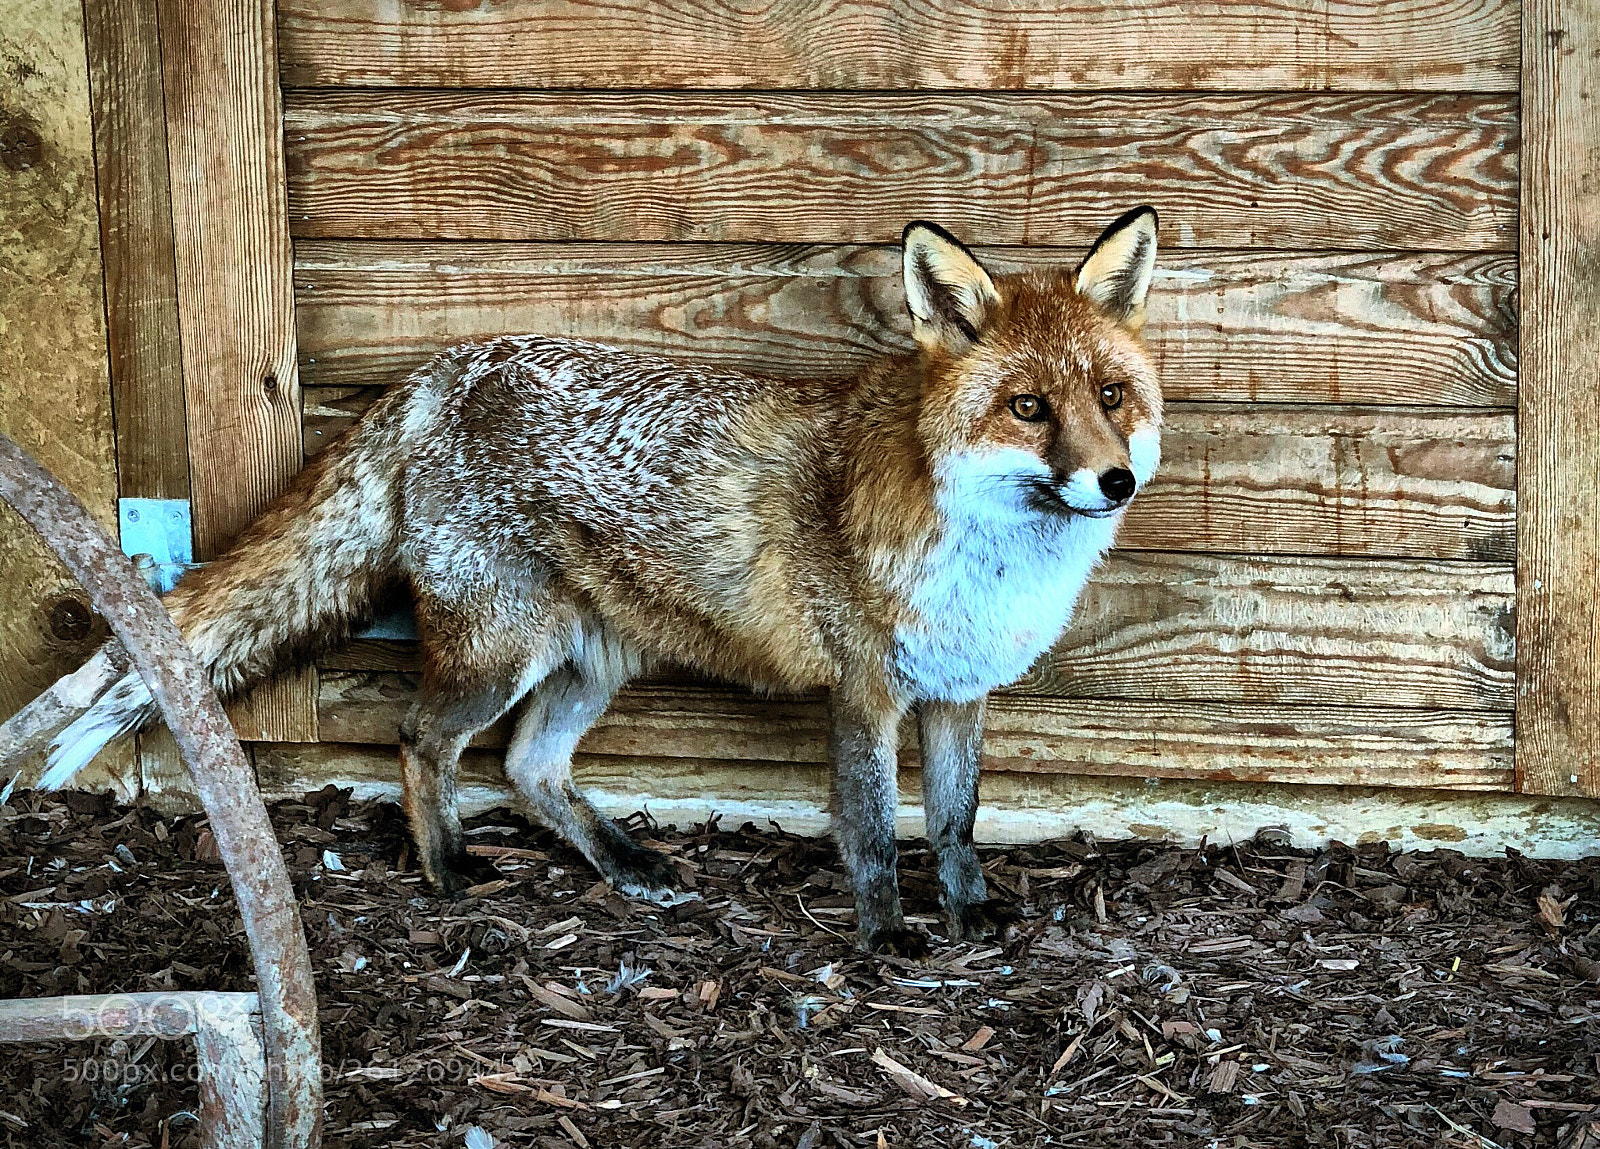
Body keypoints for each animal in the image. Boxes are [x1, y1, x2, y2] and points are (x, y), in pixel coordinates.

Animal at [34, 208, 1163, 954]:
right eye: (1026, 408)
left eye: (1111, 395)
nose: (1113, 480)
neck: (987, 558)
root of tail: (439, 372)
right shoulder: (865, 694)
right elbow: (879, 834)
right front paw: (886, 938)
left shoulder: (960, 692)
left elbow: (959, 822)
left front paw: (971, 912)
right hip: (505, 650)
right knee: (424, 738)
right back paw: (445, 869)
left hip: (592, 662)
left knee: (531, 768)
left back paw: (623, 863)